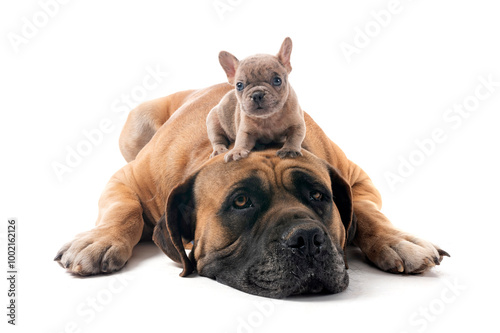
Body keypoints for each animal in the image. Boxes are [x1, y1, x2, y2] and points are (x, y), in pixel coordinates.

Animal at [54, 83, 450, 298]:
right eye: (241, 202)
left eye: (319, 196)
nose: (308, 238)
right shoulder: (127, 178)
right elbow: (124, 209)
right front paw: (99, 240)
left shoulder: (356, 177)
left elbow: (368, 211)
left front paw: (399, 240)